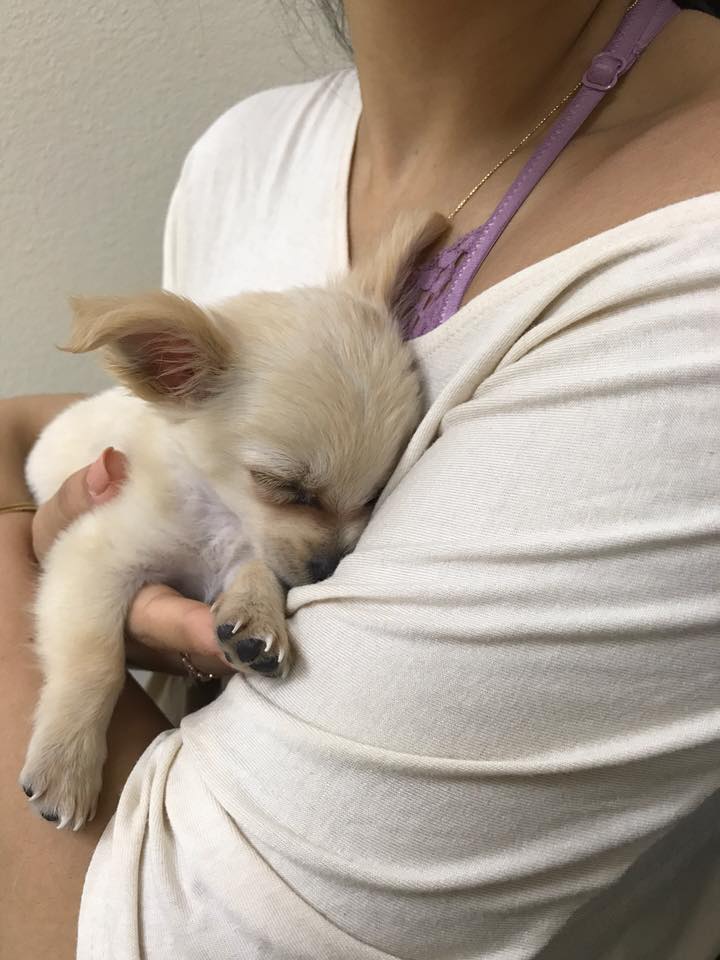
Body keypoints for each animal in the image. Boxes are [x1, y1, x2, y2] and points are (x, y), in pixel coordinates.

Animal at [19, 210, 448, 832]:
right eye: (283, 486)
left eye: (373, 496)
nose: (329, 565)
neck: (222, 516)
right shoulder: (92, 555)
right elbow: (95, 660)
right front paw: (66, 762)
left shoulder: (249, 548)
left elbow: (258, 566)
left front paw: (254, 613)